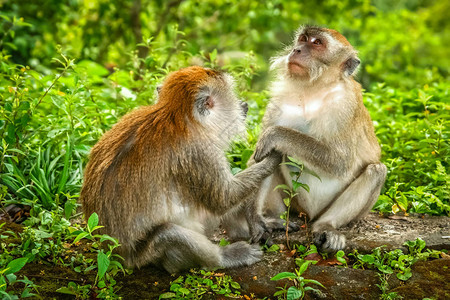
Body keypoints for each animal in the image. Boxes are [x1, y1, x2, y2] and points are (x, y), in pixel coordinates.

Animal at [78, 66, 280, 274]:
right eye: (233, 96)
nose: (243, 104)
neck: (177, 115)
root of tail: (116, 254)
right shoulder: (200, 151)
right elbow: (224, 198)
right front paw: (273, 159)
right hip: (146, 255)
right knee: (169, 233)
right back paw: (224, 258)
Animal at [246, 25, 386, 251]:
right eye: (303, 39)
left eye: (317, 43)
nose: (297, 50)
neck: (314, 88)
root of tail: (309, 215)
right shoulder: (278, 98)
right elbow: (257, 158)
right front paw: (255, 221)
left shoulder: (345, 106)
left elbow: (340, 162)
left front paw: (275, 134)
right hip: (294, 204)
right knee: (273, 157)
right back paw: (272, 220)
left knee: (376, 171)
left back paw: (325, 226)